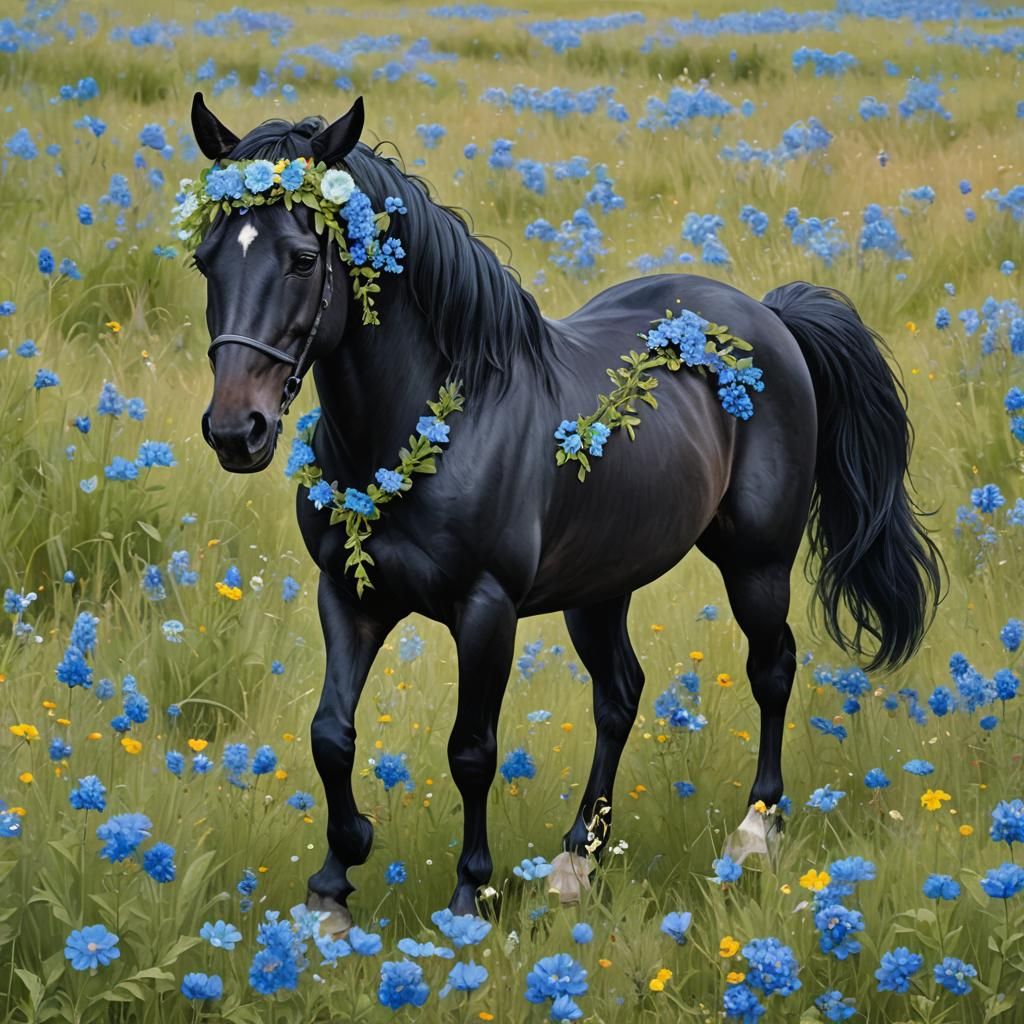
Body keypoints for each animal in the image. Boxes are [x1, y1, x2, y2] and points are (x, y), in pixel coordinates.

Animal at [189, 94, 942, 934]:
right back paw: (578, 860)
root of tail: (770, 315)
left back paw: (754, 830)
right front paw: (333, 882)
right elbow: (331, 735)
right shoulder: (349, 595)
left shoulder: (486, 610)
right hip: (601, 586)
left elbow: (471, 751)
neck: (424, 425)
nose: (236, 431)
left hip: (757, 562)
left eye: (301, 259)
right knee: (619, 695)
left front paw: (470, 896)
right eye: (206, 259)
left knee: (771, 670)